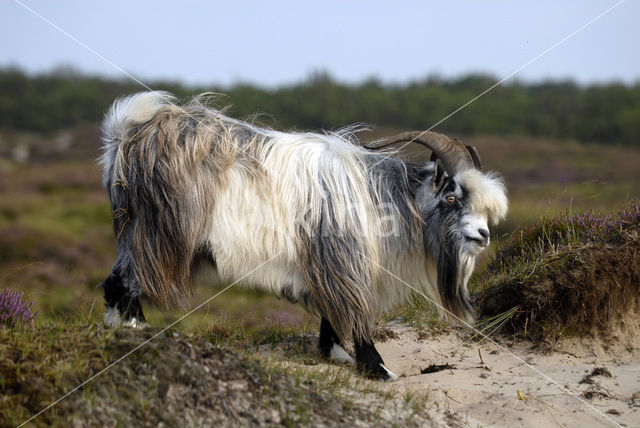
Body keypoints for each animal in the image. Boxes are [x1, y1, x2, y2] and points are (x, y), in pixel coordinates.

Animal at [100, 91, 508, 382]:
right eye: (452, 197)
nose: (483, 235)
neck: (383, 196)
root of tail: (128, 137)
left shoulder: (325, 265)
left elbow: (331, 312)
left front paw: (335, 354)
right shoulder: (342, 262)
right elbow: (354, 312)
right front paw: (378, 369)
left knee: (116, 281)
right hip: (154, 235)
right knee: (122, 282)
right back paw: (134, 332)